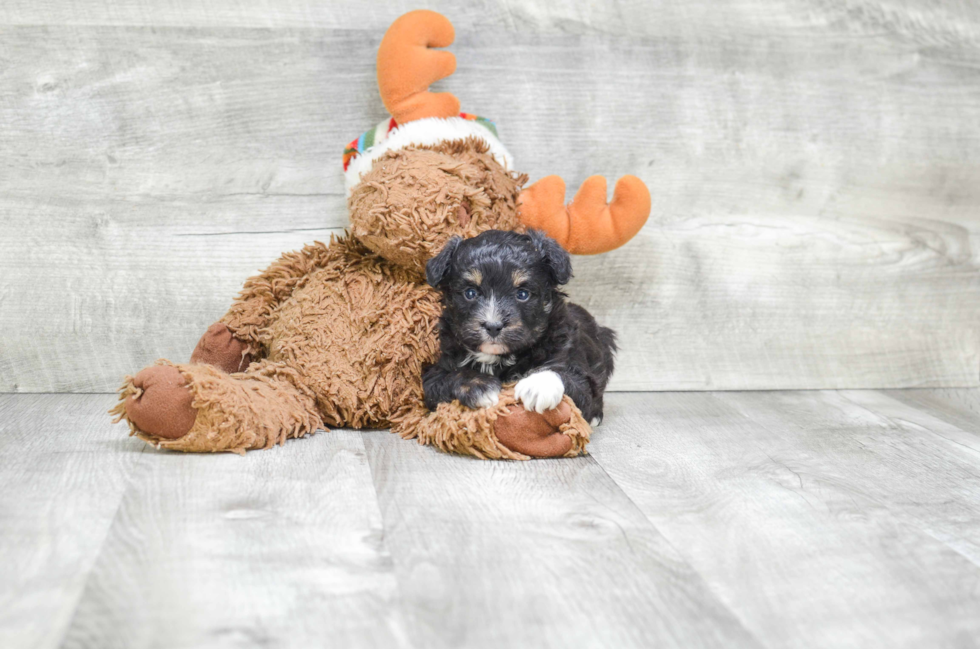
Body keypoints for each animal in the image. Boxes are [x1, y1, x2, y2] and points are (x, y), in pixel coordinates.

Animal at [424, 229, 616, 426]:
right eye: (470, 293)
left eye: (522, 294)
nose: (493, 326)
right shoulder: (436, 374)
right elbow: (448, 376)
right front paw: (479, 386)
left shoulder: (576, 369)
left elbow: (572, 380)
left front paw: (538, 385)